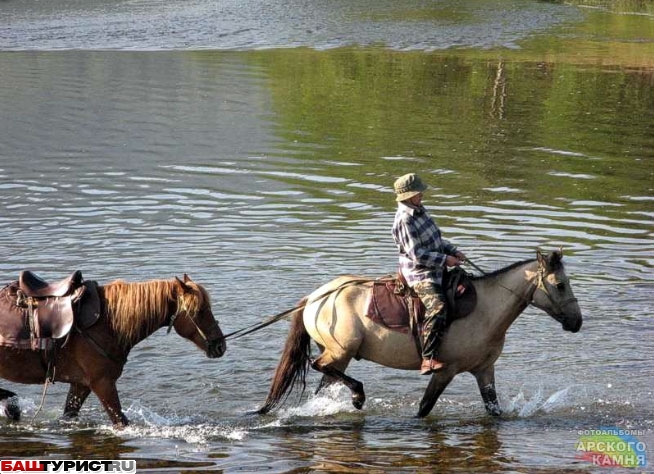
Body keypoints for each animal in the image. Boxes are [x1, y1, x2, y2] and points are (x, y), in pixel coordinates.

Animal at [0, 274, 226, 426]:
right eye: (200, 310)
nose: (220, 345)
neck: (107, 323)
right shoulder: (103, 383)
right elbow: (120, 420)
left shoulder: (81, 384)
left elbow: (69, 413)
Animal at [260, 250, 584, 416]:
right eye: (559, 285)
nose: (577, 322)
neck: (487, 309)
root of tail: (314, 298)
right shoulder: (445, 370)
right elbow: (424, 408)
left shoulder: (484, 370)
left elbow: (493, 410)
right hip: (341, 350)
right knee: (319, 365)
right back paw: (358, 395)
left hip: (342, 356)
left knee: (325, 381)